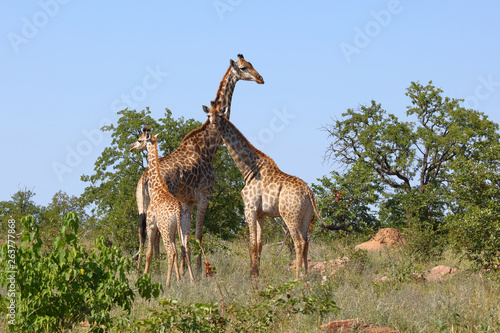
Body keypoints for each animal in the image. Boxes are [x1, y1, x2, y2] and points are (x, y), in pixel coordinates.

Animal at [129, 126, 195, 284]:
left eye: (139, 140)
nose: (131, 147)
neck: (157, 187)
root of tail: (178, 211)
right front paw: (179, 278)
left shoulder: (152, 225)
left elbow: (149, 253)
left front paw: (145, 277)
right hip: (184, 227)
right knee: (185, 249)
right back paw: (192, 281)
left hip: (165, 229)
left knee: (171, 252)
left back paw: (167, 284)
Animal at [135, 54, 264, 272]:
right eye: (244, 68)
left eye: (251, 64)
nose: (260, 78)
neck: (208, 145)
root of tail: (144, 179)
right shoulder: (205, 195)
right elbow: (198, 235)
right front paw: (200, 271)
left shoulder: (187, 201)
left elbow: (185, 239)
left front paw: (185, 271)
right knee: (158, 236)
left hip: (142, 205)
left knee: (144, 235)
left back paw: (149, 272)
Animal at [201, 102, 350, 278]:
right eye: (208, 115)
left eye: (220, 116)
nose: (213, 124)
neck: (249, 170)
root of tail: (309, 193)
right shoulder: (261, 214)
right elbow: (259, 246)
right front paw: (256, 275)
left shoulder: (249, 208)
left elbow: (252, 245)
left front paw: (251, 277)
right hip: (307, 216)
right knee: (306, 242)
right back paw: (306, 276)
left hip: (290, 215)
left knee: (299, 242)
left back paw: (297, 277)